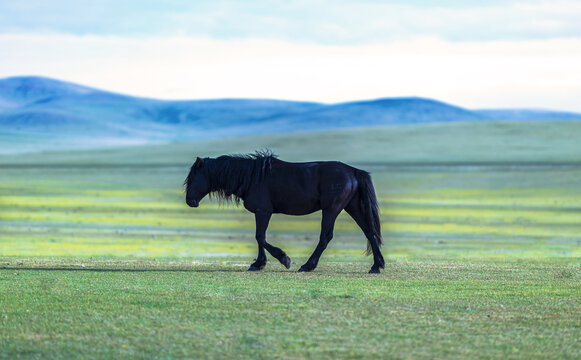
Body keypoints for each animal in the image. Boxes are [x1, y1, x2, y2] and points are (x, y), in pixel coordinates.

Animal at [184, 151, 386, 272]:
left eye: (193, 177)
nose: (189, 201)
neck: (251, 177)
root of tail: (353, 171)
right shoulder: (262, 212)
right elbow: (260, 238)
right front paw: (259, 264)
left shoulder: (263, 211)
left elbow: (260, 237)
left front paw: (282, 259)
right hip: (352, 207)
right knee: (369, 232)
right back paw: (377, 266)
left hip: (332, 209)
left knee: (326, 237)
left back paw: (307, 265)